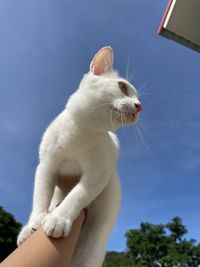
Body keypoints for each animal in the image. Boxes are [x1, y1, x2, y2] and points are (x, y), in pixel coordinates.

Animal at [17, 47, 142, 266]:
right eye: (122, 87)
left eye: (139, 98)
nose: (139, 106)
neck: (80, 134)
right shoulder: (47, 165)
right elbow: (40, 196)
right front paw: (34, 223)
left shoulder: (98, 174)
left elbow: (77, 195)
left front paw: (58, 219)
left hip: (92, 243)